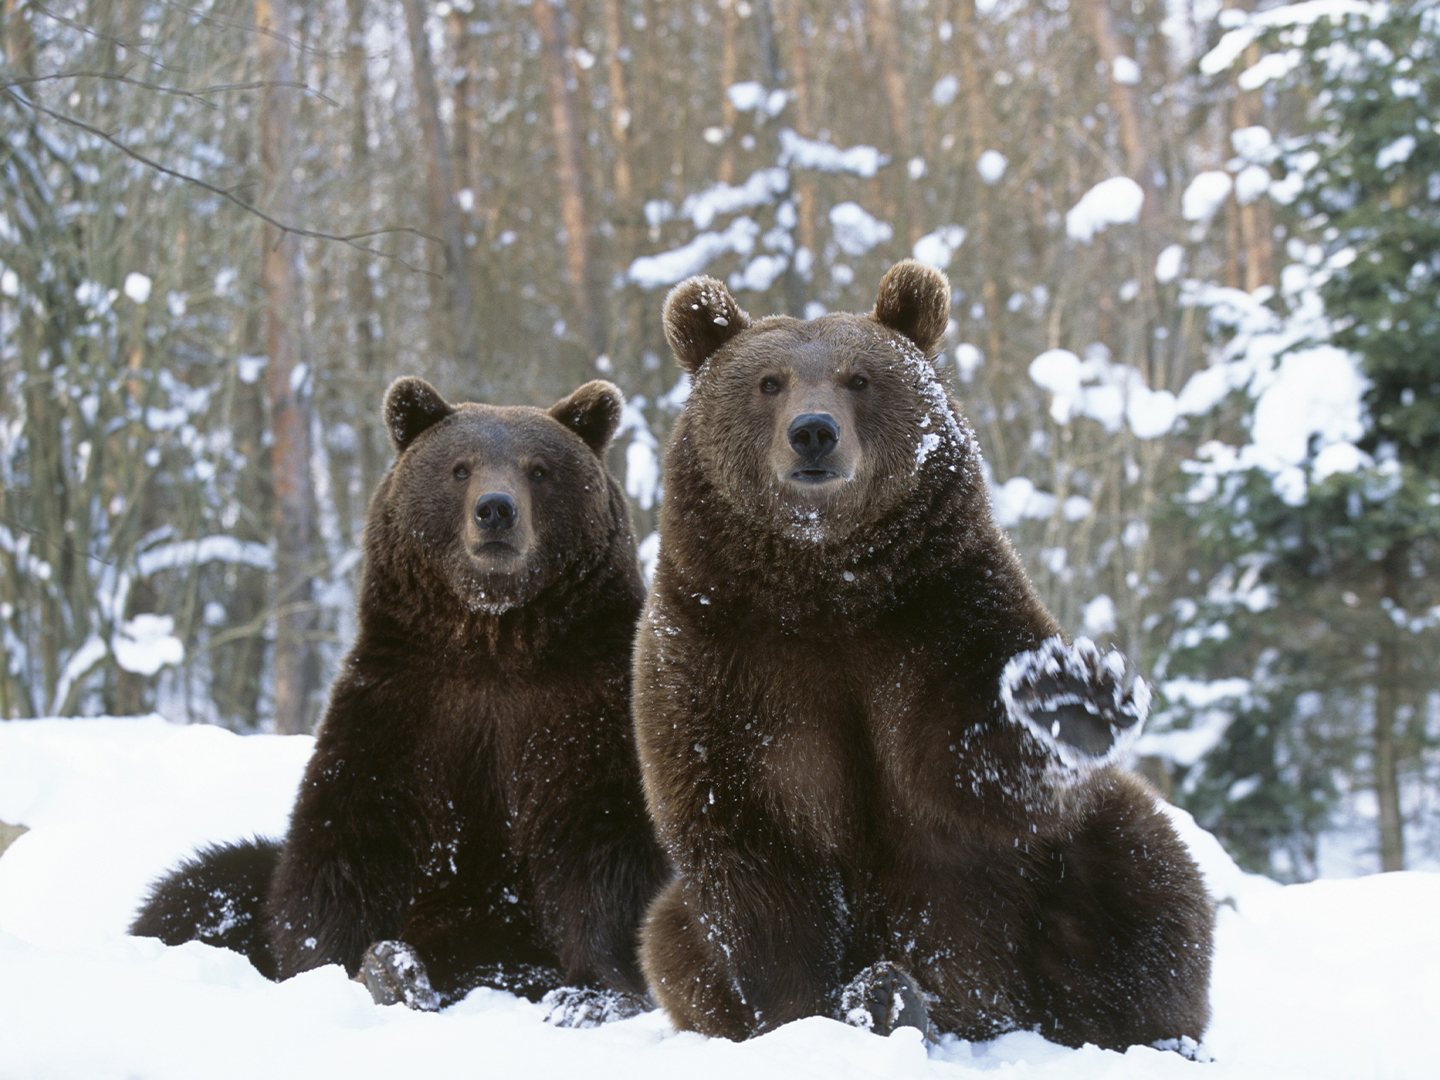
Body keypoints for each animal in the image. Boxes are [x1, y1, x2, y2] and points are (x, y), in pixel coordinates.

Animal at [131, 377, 668, 1019]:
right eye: (459, 468)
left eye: (539, 469)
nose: (496, 509)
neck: (493, 640)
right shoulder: (402, 712)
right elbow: (345, 849)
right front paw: (345, 970)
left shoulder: (586, 710)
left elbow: (608, 845)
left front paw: (596, 994)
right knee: (201, 883)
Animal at [636, 260, 1209, 1048]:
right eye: (769, 382)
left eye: (858, 378)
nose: (813, 434)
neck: (825, 586)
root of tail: (991, 1013)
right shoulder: (719, 654)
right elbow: (751, 839)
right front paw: (821, 1010)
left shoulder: (942, 615)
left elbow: (970, 770)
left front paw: (1069, 699)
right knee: (671, 936)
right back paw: (889, 996)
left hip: (1055, 886)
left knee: (1146, 870)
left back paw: (1153, 1031)